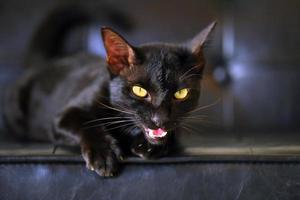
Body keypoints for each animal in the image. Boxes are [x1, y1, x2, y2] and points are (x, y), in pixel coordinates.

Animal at [4, 21, 216, 177]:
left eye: (181, 93)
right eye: (139, 90)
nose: (160, 119)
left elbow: (173, 131)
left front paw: (149, 146)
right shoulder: (64, 115)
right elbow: (85, 123)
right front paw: (103, 153)